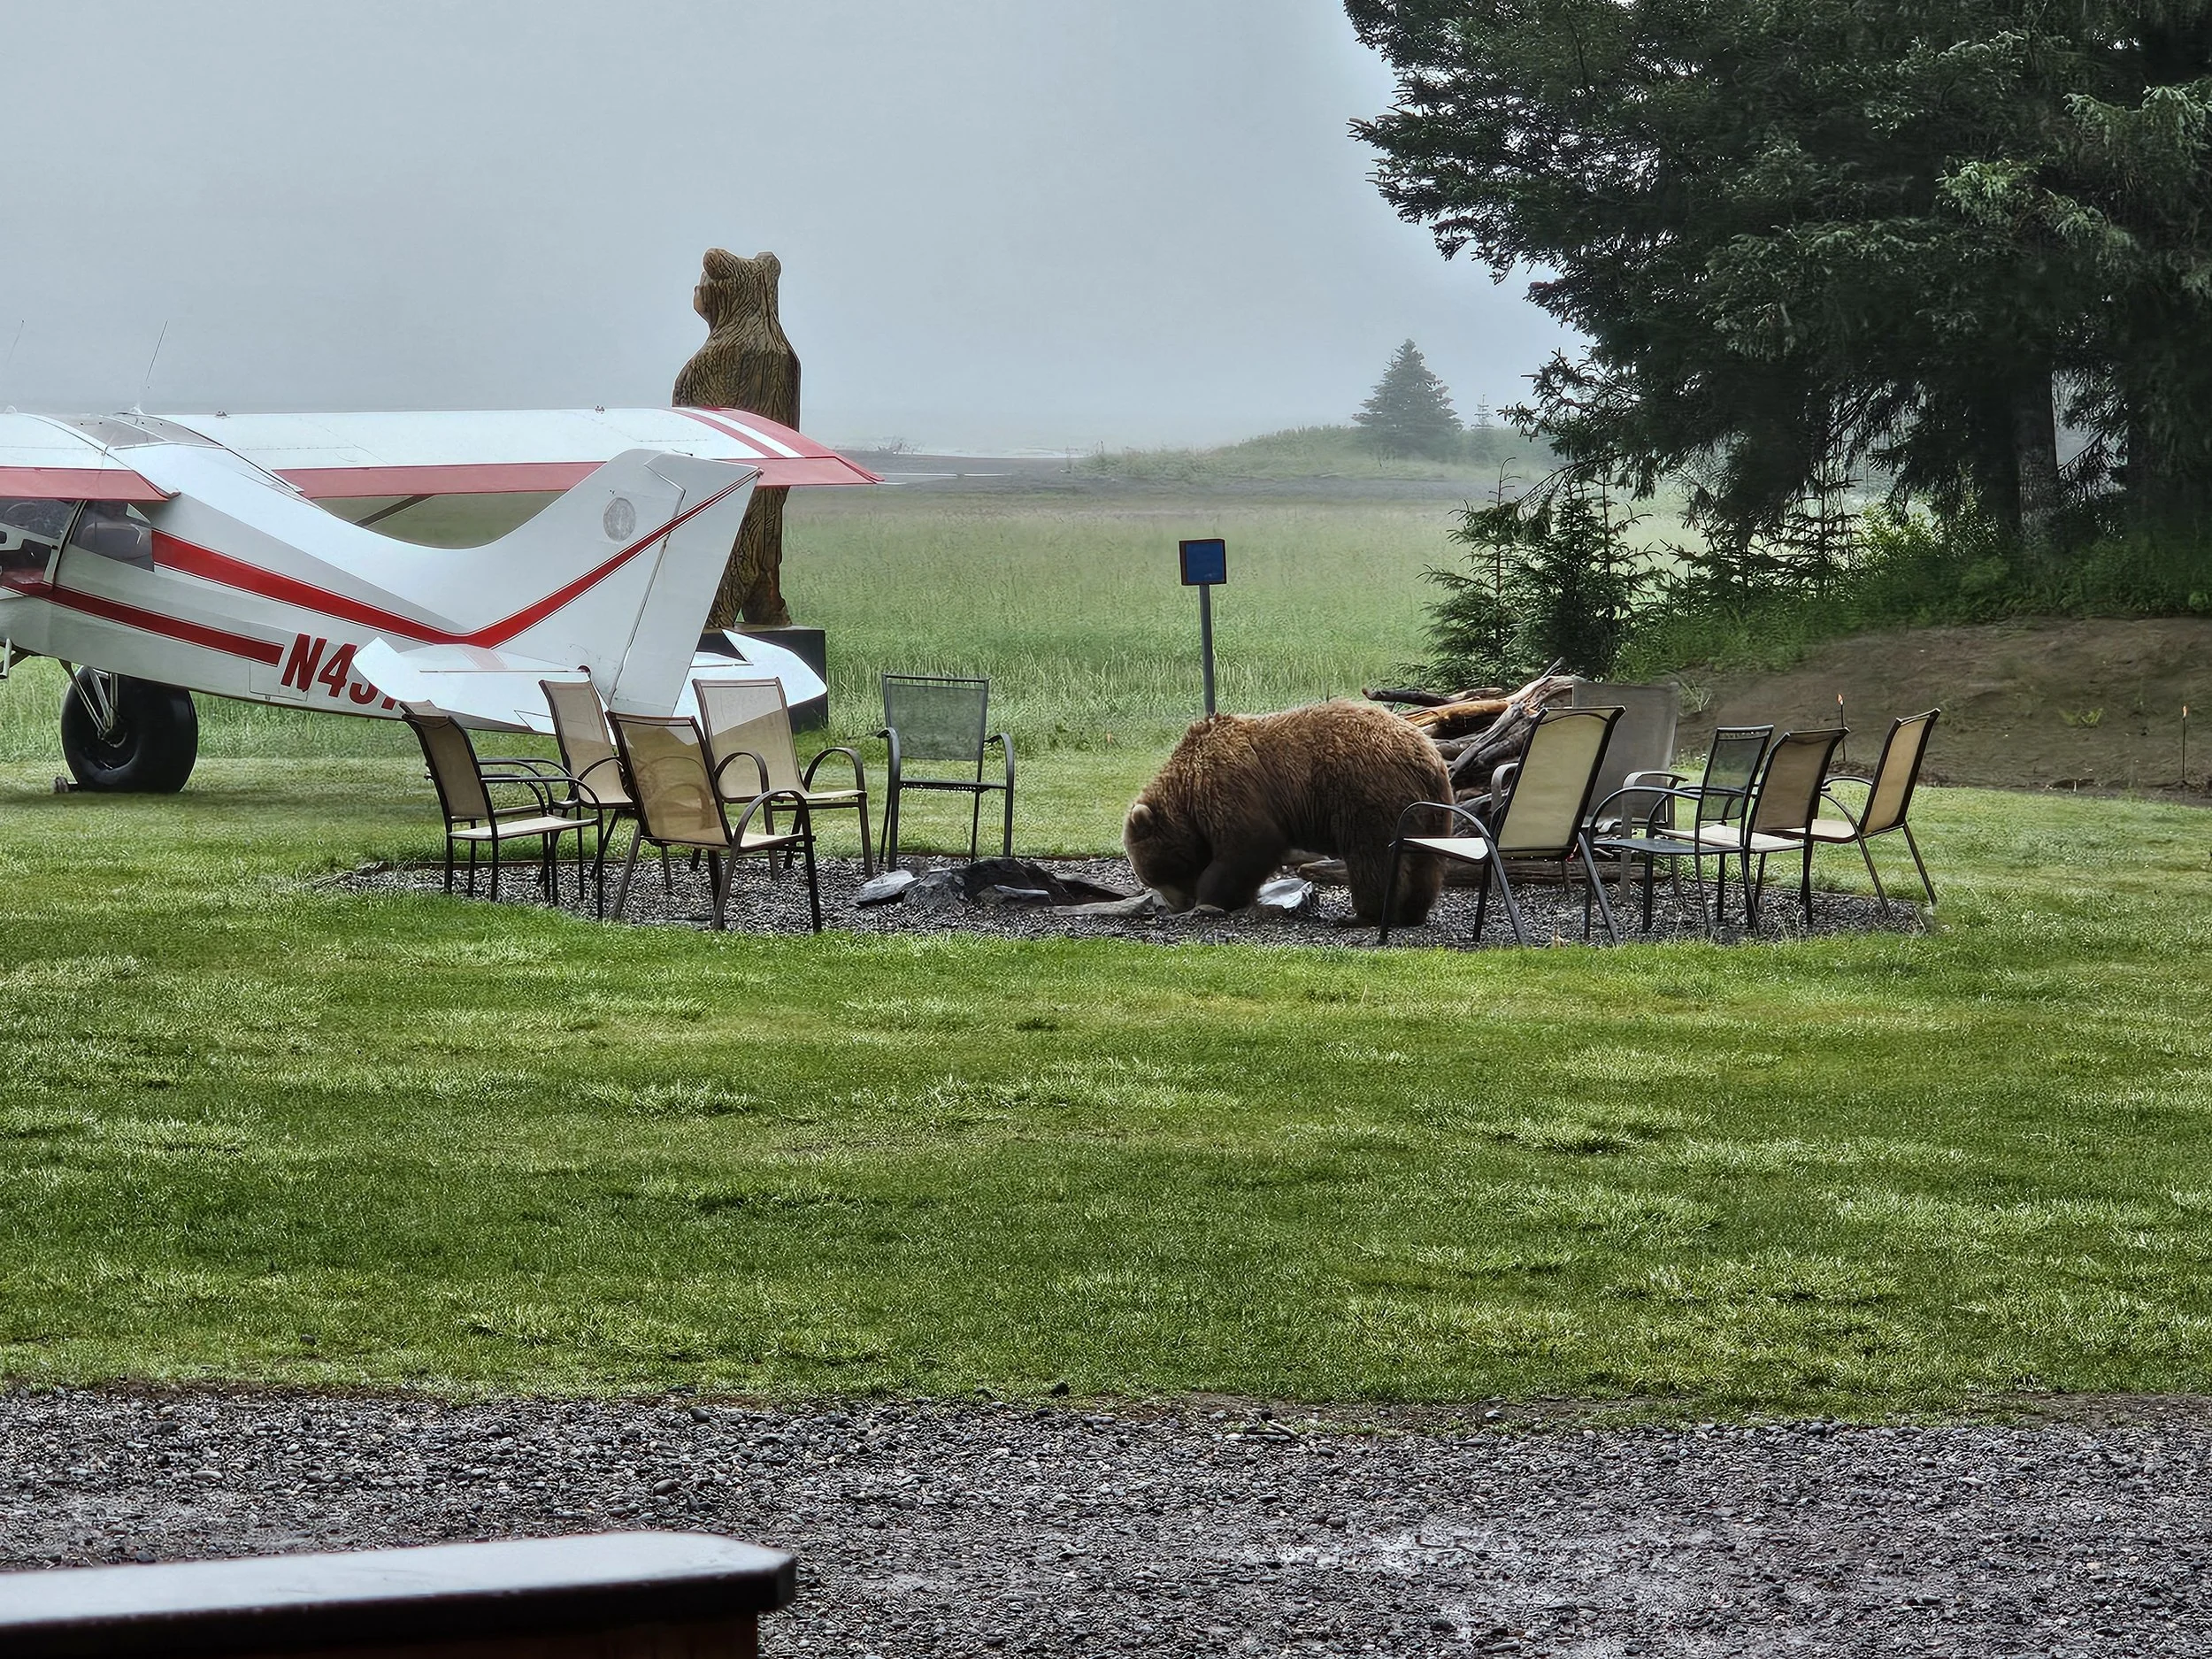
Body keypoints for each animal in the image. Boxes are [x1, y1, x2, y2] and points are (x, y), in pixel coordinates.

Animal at [1122, 700, 1453, 925]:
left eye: (1154, 873)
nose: (1177, 905)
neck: (1188, 791)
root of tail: (1426, 754)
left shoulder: (1230, 788)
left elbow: (1249, 845)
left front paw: (1210, 899)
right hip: (1428, 810)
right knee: (1425, 861)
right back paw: (1412, 911)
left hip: (1367, 793)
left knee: (1372, 855)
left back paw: (1363, 914)